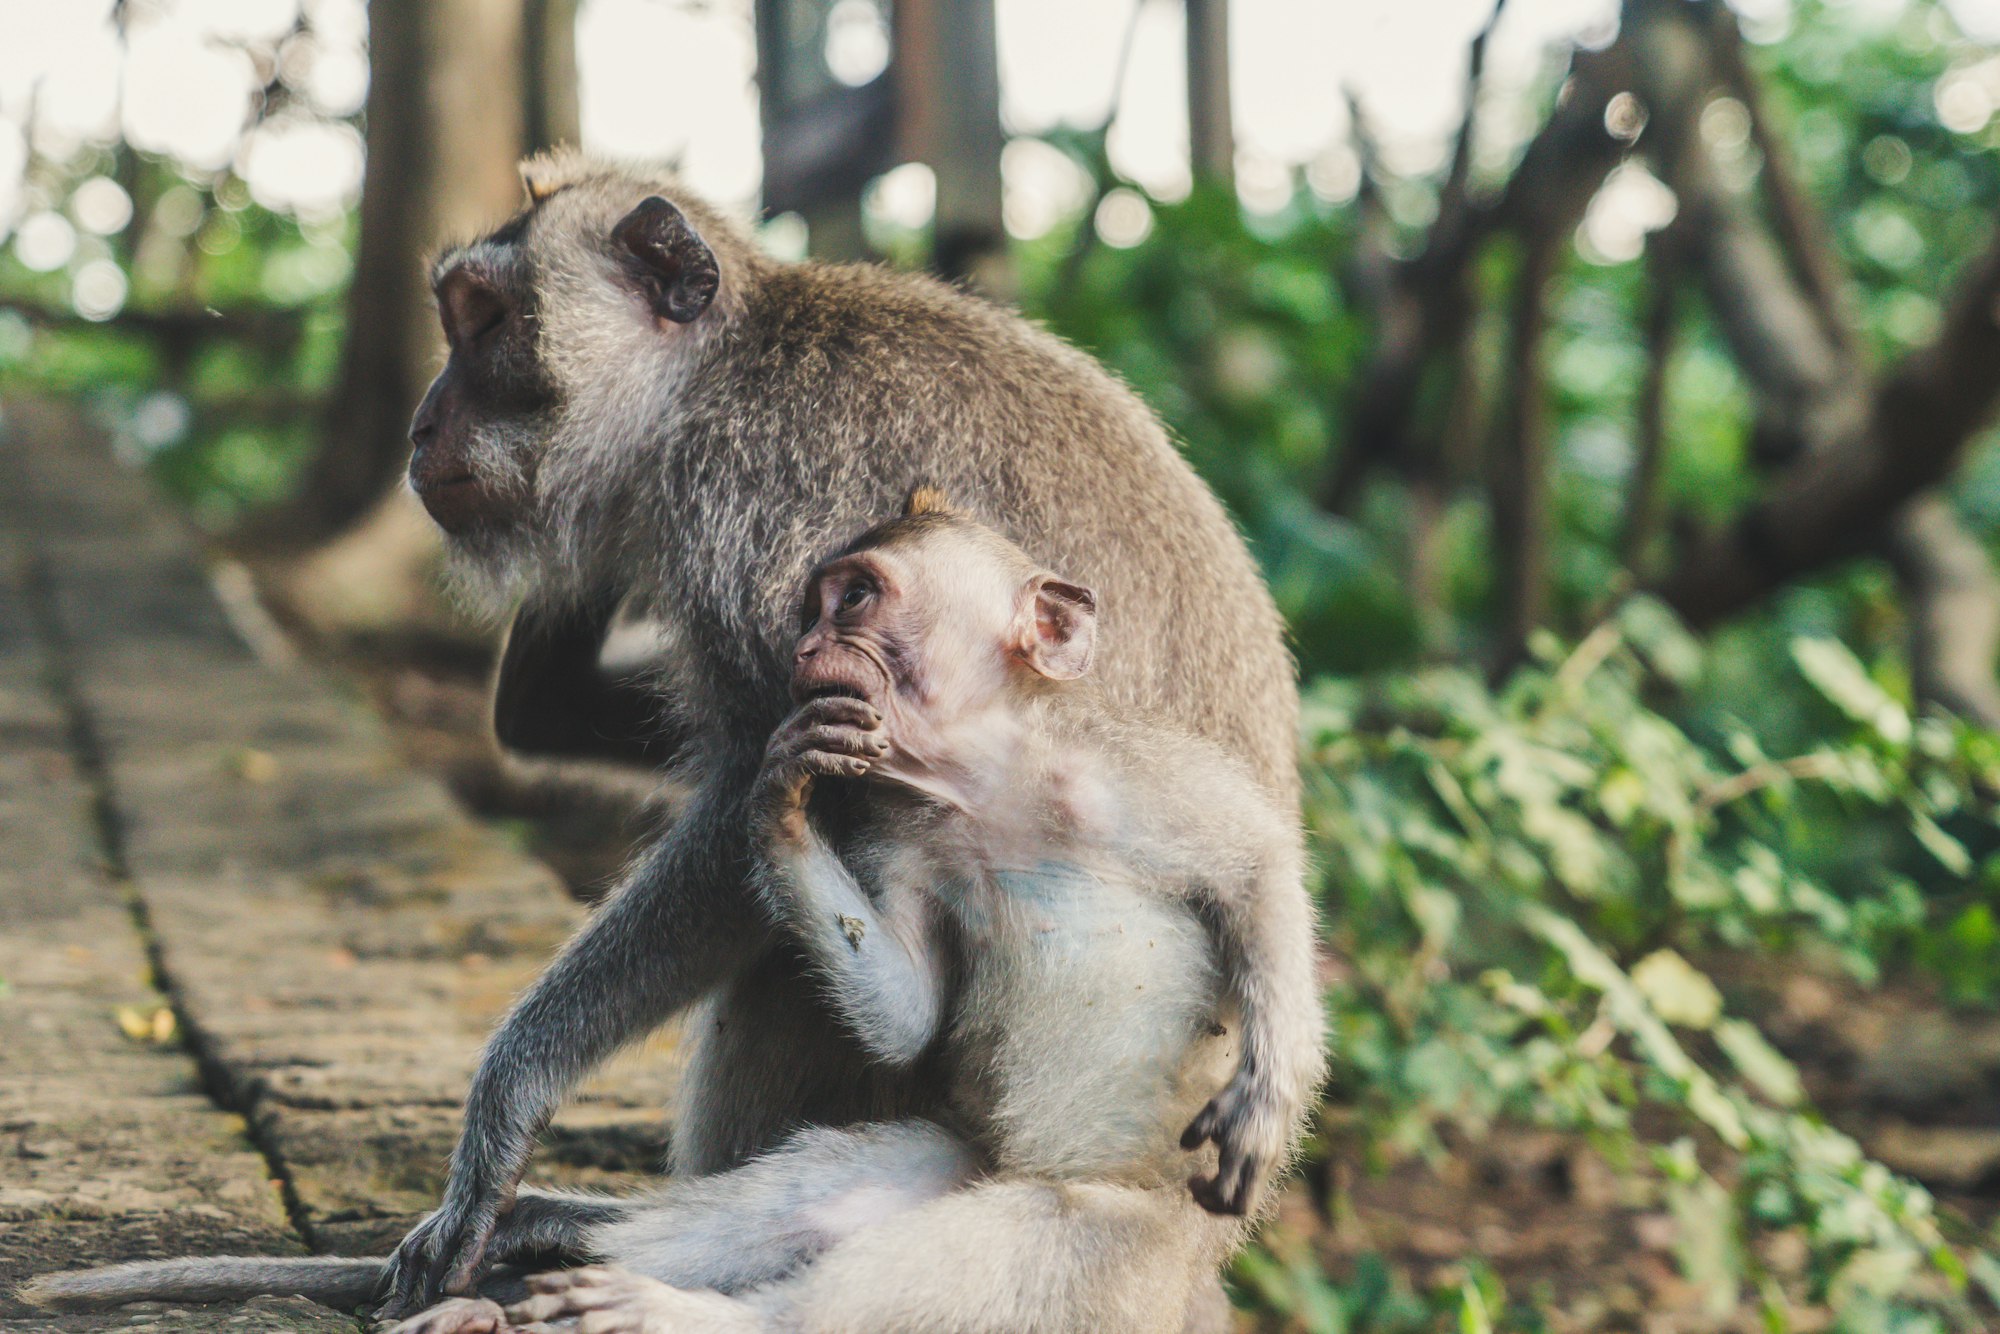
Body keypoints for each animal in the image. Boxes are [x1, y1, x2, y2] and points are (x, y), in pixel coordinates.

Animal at [392, 151, 1304, 1320]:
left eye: (487, 320)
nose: (422, 428)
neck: (712, 380)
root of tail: (1204, 1263)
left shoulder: (755, 509)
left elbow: (757, 802)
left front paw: (505, 1107)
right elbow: (562, 718)